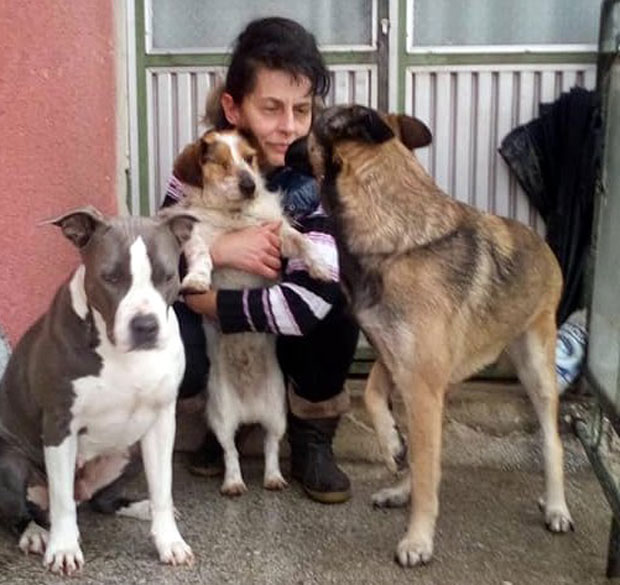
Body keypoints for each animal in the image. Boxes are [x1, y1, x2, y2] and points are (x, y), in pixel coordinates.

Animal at [0, 207, 196, 575]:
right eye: (111, 277)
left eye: (165, 276)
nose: (146, 325)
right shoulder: (59, 425)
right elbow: (62, 500)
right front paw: (64, 549)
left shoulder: (162, 421)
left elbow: (163, 489)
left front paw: (170, 541)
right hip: (9, 460)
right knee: (24, 510)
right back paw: (35, 533)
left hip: (132, 449)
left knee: (103, 501)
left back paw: (138, 507)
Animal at [285, 104, 574, 566]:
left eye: (312, 117)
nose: (281, 146)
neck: (395, 235)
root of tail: (540, 241)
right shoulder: (394, 362)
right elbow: (374, 399)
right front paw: (391, 446)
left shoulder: (421, 383)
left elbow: (426, 473)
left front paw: (418, 539)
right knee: (426, 454)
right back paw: (400, 482)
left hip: (536, 371)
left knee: (551, 442)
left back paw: (557, 508)